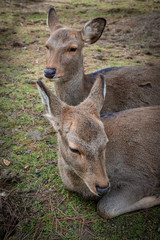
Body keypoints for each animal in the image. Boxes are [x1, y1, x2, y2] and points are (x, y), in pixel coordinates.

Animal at [37, 75, 160, 219]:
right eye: (74, 149)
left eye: (105, 142)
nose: (103, 187)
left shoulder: (141, 179)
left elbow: (105, 208)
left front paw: (156, 197)